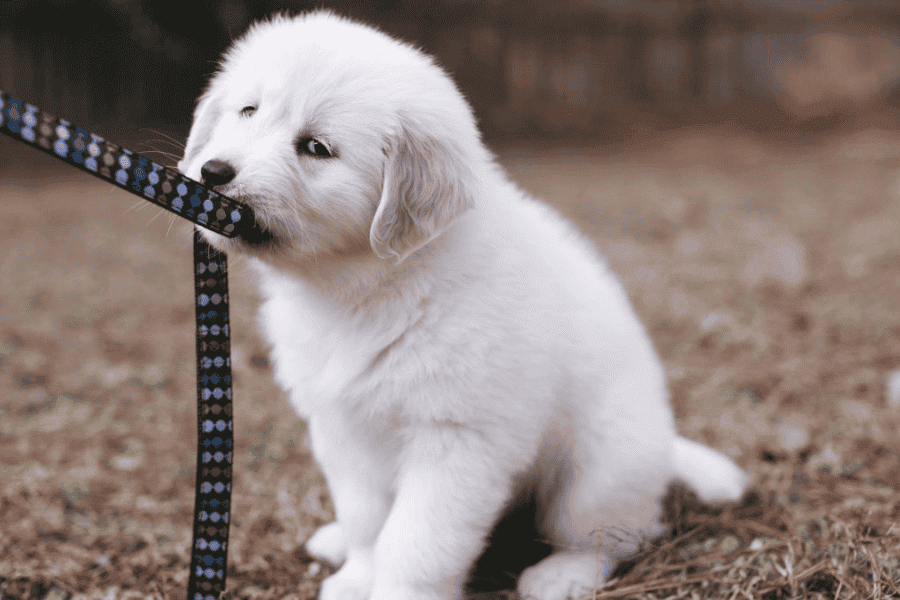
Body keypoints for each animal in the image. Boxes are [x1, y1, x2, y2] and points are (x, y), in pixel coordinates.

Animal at [178, 11, 748, 600]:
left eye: (316, 148)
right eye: (248, 110)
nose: (214, 172)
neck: (364, 290)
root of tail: (665, 444)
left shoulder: (456, 440)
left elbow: (416, 542)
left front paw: (394, 590)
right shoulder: (343, 427)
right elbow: (366, 519)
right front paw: (358, 575)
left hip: (599, 471)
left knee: (615, 536)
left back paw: (562, 574)